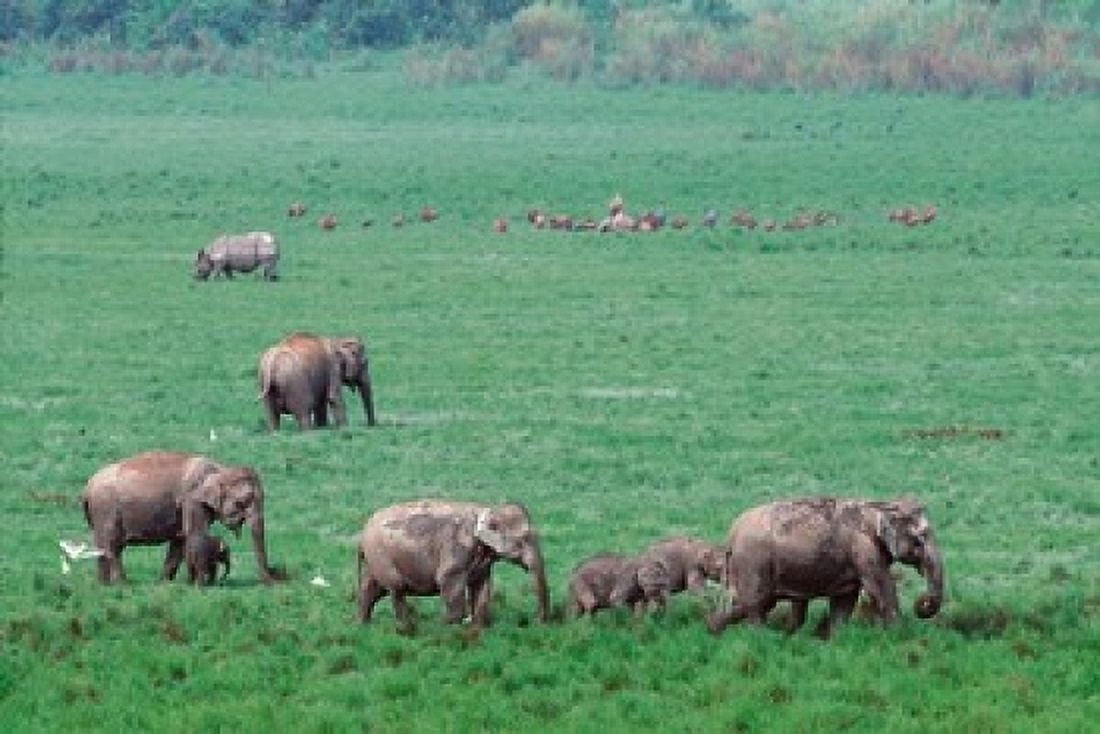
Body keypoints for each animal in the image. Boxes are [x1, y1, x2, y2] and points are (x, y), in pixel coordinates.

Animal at [80, 451, 278, 585]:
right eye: (242, 502)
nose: (271, 582)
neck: (220, 469)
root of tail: (87, 487)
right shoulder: (191, 499)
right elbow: (195, 534)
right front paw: (201, 585)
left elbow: (180, 540)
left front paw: (164, 583)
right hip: (106, 510)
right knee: (112, 546)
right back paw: (123, 584)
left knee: (103, 546)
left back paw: (104, 585)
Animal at [357, 500, 550, 629]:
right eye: (524, 539)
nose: (538, 622)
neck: (487, 509)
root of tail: (362, 533)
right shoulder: (457, 549)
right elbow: (449, 582)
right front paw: (450, 627)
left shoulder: (482, 562)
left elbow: (482, 586)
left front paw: (478, 628)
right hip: (382, 557)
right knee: (396, 588)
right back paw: (406, 628)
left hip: (373, 560)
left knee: (371, 590)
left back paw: (363, 626)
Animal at [707, 497, 945, 637]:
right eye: (919, 539)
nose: (922, 602)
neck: (879, 506)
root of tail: (732, 533)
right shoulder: (864, 548)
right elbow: (882, 586)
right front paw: (899, 636)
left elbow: (845, 599)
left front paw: (838, 639)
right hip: (754, 562)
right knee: (756, 603)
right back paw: (760, 638)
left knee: (755, 603)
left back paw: (714, 629)